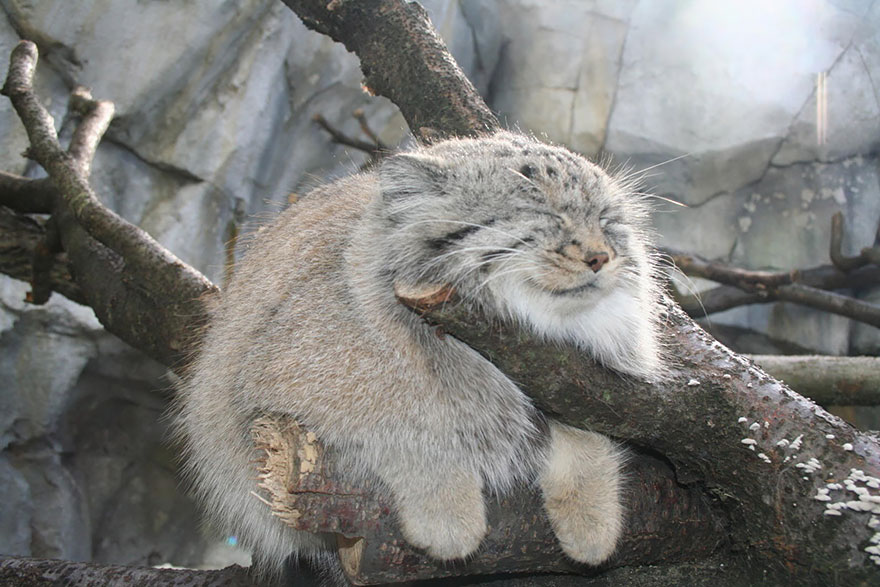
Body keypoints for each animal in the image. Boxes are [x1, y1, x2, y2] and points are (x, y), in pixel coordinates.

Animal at [175, 132, 664, 580]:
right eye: (544, 213)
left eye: (607, 220)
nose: (601, 257)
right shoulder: (275, 385)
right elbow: (403, 422)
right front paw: (447, 511)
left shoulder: (588, 390)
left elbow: (589, 438)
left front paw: (592, 517)